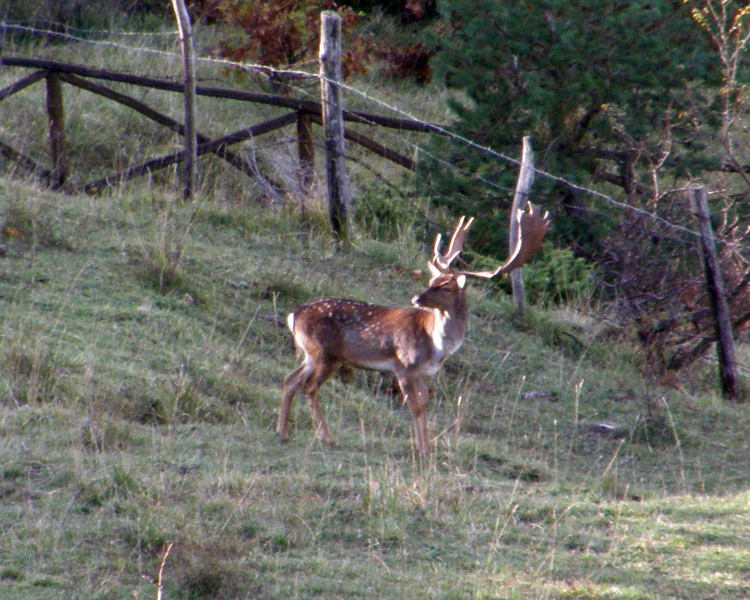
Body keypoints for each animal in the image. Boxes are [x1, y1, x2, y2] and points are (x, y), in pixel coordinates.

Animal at [280, 203, 548, 454]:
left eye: (446, 287)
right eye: (432, 281)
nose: (417, 298)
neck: (436, 347)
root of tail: (294, 315)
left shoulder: (424, 373)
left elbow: (424, 407)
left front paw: (426, 446)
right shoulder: (404, 366)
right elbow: (415, 408)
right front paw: (423, 449)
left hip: (312, 354)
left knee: (290, 380)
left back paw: (282, 432)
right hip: (326, 353)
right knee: (309, 387)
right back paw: (326, 438)